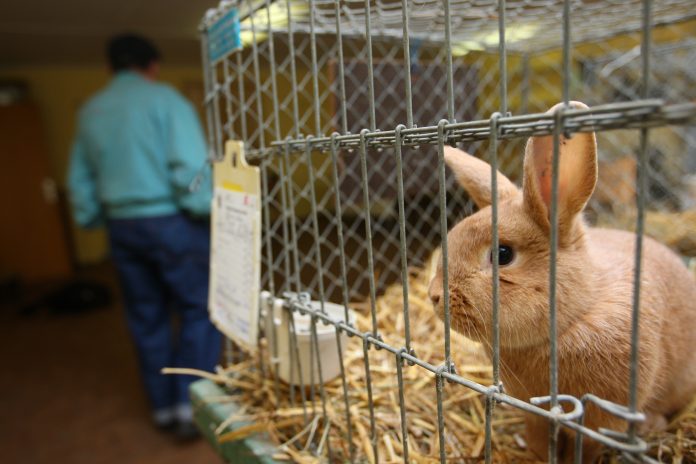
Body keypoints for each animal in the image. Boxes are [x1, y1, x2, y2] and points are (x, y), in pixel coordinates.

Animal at [426, 99, 696, 462]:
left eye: (502, 254)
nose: (434, 296)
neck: (574, 317)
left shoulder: (599, 418)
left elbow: (589, 445)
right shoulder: (534, 412)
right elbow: (539, 438)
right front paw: (538, 455)